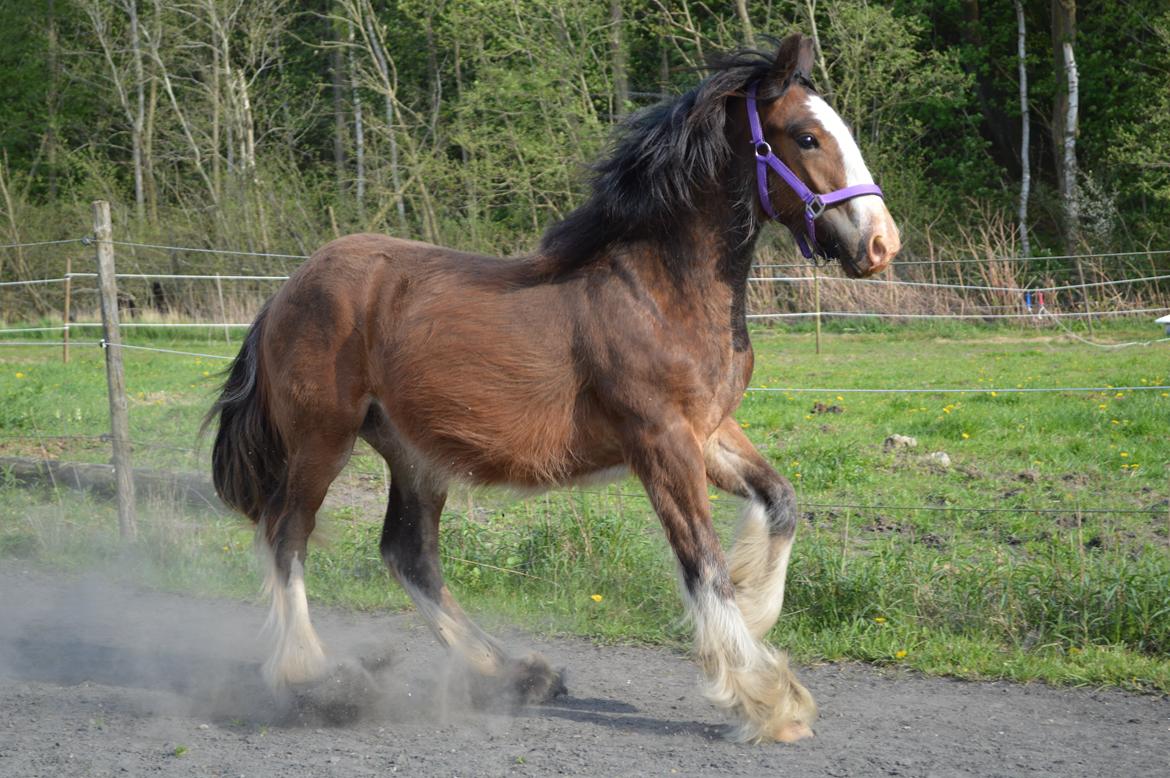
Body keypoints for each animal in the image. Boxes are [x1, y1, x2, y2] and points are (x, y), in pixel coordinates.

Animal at [205, 33, 898, 744]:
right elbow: (701, 563)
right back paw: (315, 680)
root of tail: (284, 292)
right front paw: (766, 698)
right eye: (806, 137)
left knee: (408, 553)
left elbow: (781, 500)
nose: (881, 244)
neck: (660, 292)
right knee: (288, 533)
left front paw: (757, 612)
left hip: (413, 452)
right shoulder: (660, 441)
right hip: (322, 439)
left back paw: (511, 674)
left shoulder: (707, 431)